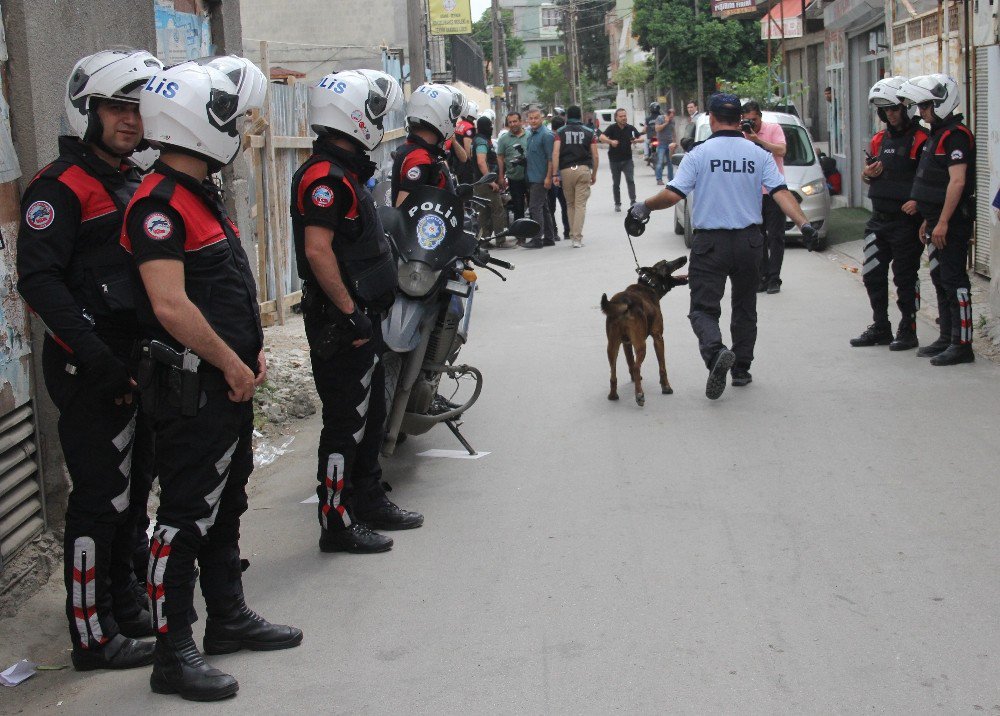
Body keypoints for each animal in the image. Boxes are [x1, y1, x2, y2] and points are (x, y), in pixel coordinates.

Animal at [600, 258, 688, 406]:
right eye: (666, 263)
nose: (684, 258)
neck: (649, 285)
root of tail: (624, 302)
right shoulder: (658, 337)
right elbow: (662, 367)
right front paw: (666, 387)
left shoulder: (626, 343)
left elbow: (630, 362)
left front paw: (635, 380)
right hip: (641, 345)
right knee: (637, 367)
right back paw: (639, 395)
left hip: (612, 346)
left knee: (613, 372)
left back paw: (613, 395)